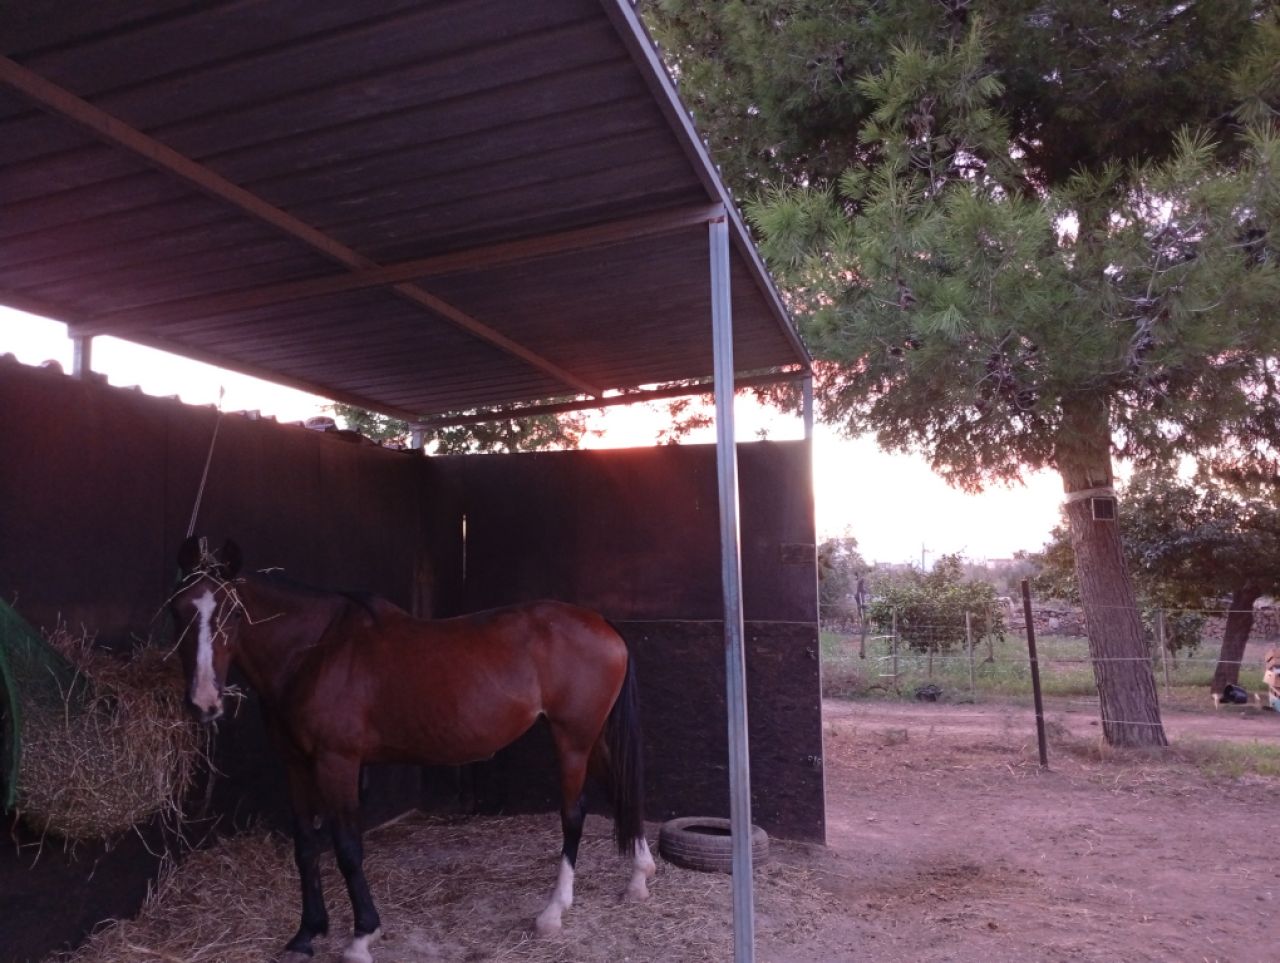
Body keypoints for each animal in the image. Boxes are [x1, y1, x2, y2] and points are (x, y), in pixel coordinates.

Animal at [169, 537, 654, 963]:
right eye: (179, 611)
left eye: (233, 615)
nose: (204, 702)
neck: (315, 652)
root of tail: (601, 623)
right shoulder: (295, 764)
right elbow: (305, 846)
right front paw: (306, 934)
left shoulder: (336, 763)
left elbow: (347, 848)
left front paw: (361, 937)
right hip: (592, 737)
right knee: (623, 792)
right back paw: (638, 878)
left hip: (571, 740)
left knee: (574, 813)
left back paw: (553, 912)